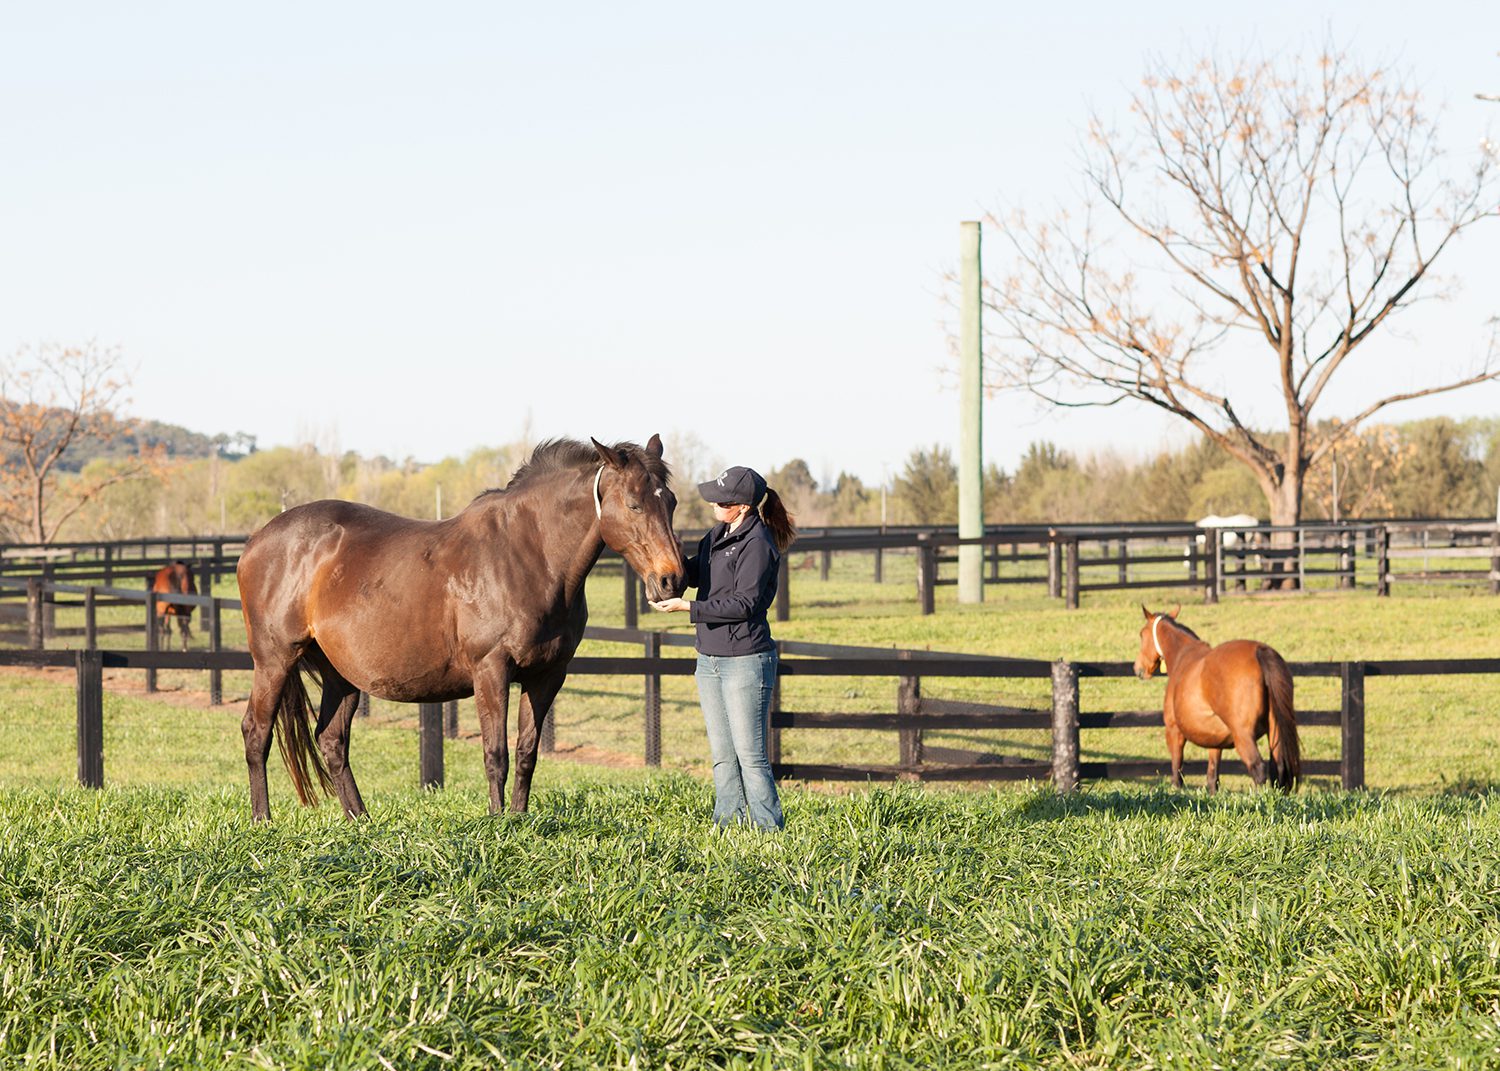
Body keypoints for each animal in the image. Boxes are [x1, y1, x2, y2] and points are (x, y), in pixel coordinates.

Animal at [235, 435, 686, 822]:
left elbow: (527, 752)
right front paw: (497, 822)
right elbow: (496, 754)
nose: (672, 581)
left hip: (339, 673)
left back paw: (361, 822)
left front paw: (519, 819)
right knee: (256, 732)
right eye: (634, 505)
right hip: (274, 660)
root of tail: (257, 540)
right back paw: (262, 820)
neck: (529, 556)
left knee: (332, 741)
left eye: (672, 502)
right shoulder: (491, 670)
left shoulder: (547, 675)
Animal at [1133, 605, 1301, 792]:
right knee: (1279, 769)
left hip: (1243, 736)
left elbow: (1177, 774)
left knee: (1258, 769)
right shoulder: (1215, 743)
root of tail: (1260, 651)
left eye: (1142, 634)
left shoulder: (1174, 732)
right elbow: (1212, 779)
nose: (1137, 668)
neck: (1182, 656)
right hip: (1275, 732)